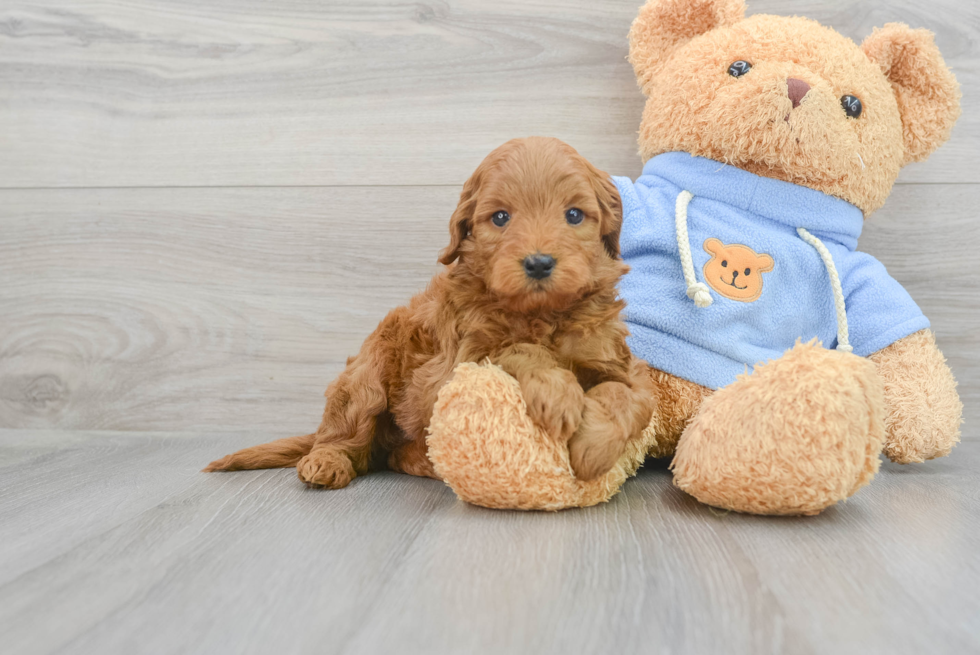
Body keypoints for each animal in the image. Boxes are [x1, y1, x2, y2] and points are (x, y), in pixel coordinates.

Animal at [204, 137, 656, 486]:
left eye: (574, 214)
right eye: (501, 217)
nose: (539, 263)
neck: (542, 315)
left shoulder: (617, 359)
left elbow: (629, 396)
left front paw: (595, 449)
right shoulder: (457, 364)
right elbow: (518, 348)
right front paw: (557, 393)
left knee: (388, 455)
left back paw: (424, 461)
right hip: (365, 378)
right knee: (346, 437)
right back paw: (325, 461)